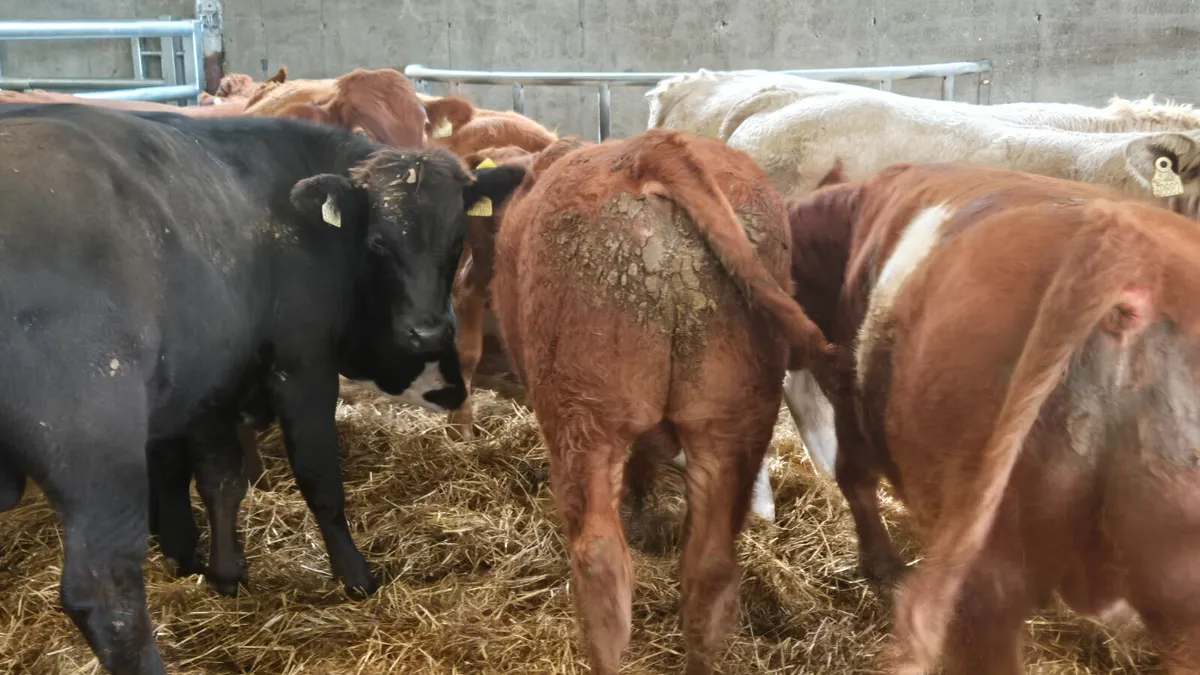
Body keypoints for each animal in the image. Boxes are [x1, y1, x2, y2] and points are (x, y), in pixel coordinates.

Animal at [0, 102, 525, 674]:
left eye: (455, 242)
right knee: (104, 594)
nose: (429, 333)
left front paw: (223, 572)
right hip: (96, 447)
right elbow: (320, 480)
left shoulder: (210, 387)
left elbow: (221, 480)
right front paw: (355, 576)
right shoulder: (303, 367)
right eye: (378, 243)